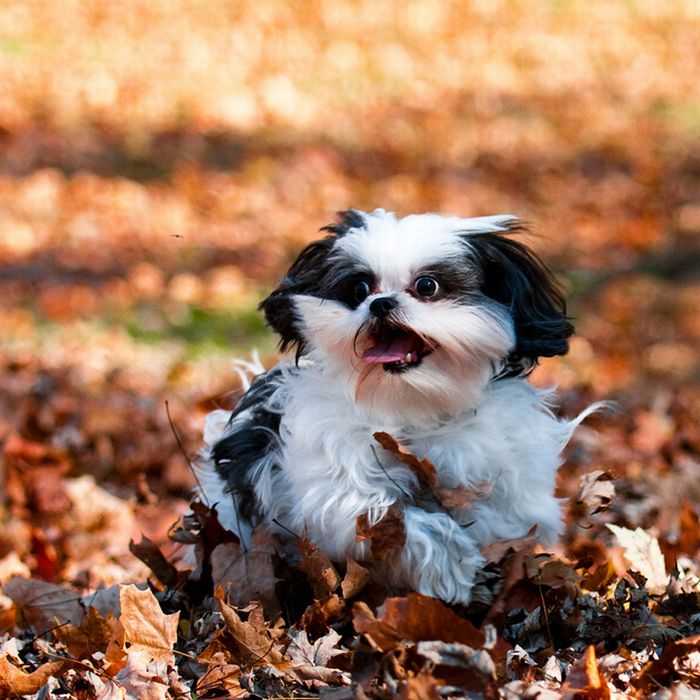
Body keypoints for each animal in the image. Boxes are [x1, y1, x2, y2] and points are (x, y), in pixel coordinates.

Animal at [197, 209, 596, 608]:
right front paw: (451, 565)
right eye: (359, 290)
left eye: (427, 286)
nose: (380, 303)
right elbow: (392, 516)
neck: (414, 405)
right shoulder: (339, 489)